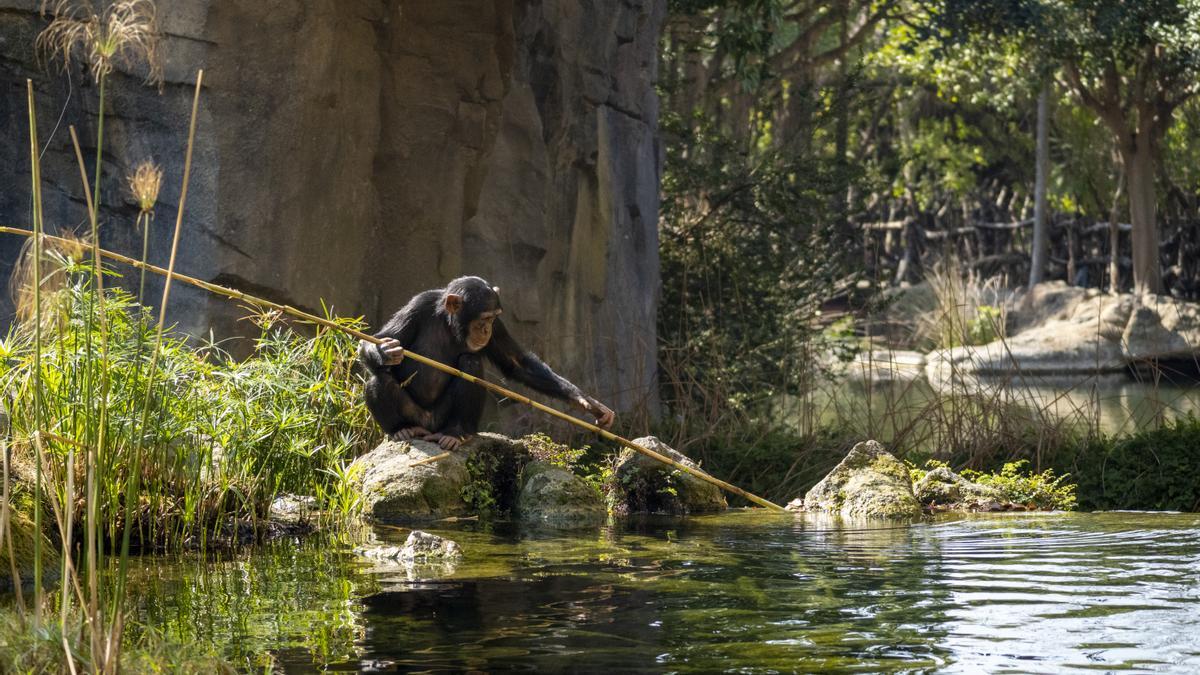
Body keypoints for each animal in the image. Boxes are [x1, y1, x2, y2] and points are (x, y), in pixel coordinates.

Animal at [357, 276, 614, 449]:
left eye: (493, 318)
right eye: (484, 318)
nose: (486, 330)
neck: (451, 323)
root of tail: (429, 427)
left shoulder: (499, 328)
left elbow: (516, 362)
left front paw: (586, 403)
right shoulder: (418, 305)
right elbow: (381, 337)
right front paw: (385, 351)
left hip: (444, 419)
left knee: (470, 364)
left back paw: (455, 432)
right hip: (416, 416)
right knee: (378, 378)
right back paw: (401, 429)